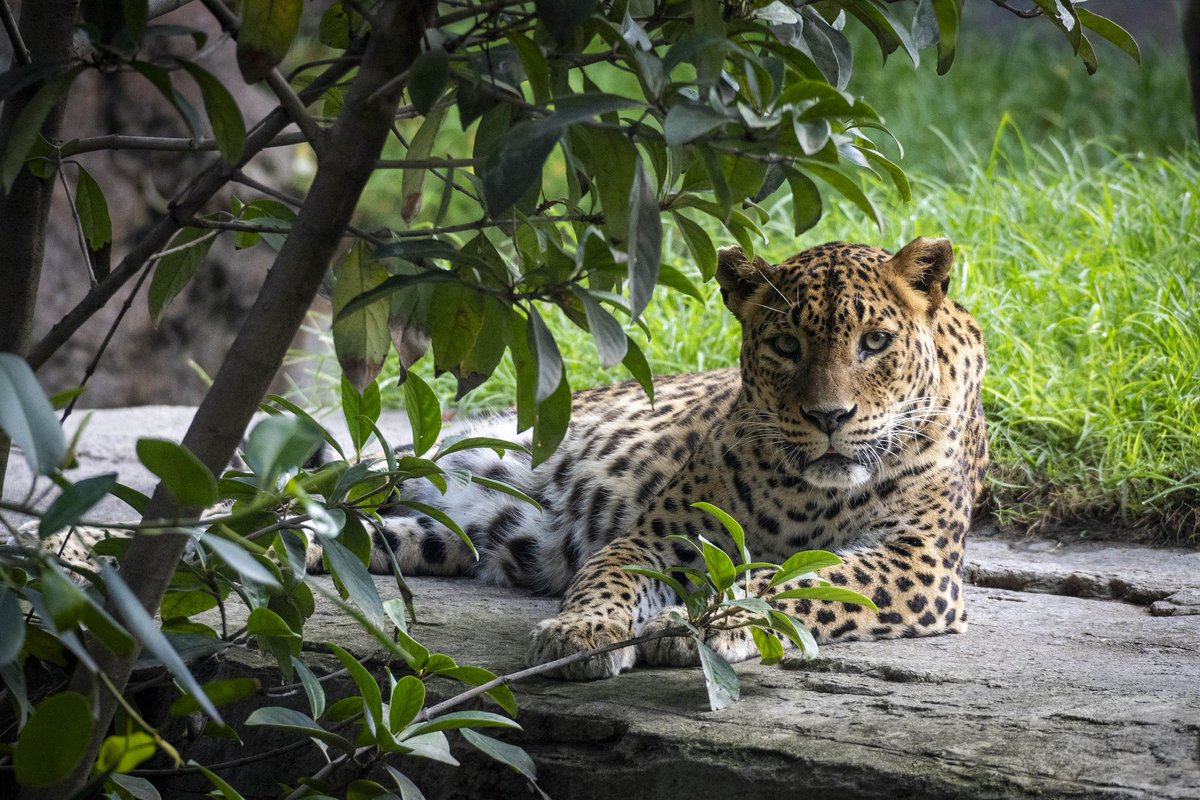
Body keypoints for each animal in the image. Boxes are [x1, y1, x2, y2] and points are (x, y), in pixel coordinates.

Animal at [319, 235, 989, 680]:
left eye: (875, 342)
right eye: (785, 345)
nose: (829, 417)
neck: (810, 494)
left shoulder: (917, 563)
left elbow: (799, 579)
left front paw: (711, 623)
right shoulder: (659, 534)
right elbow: (609, 574)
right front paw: (582, 630)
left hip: (452, 533)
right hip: (416, 461)